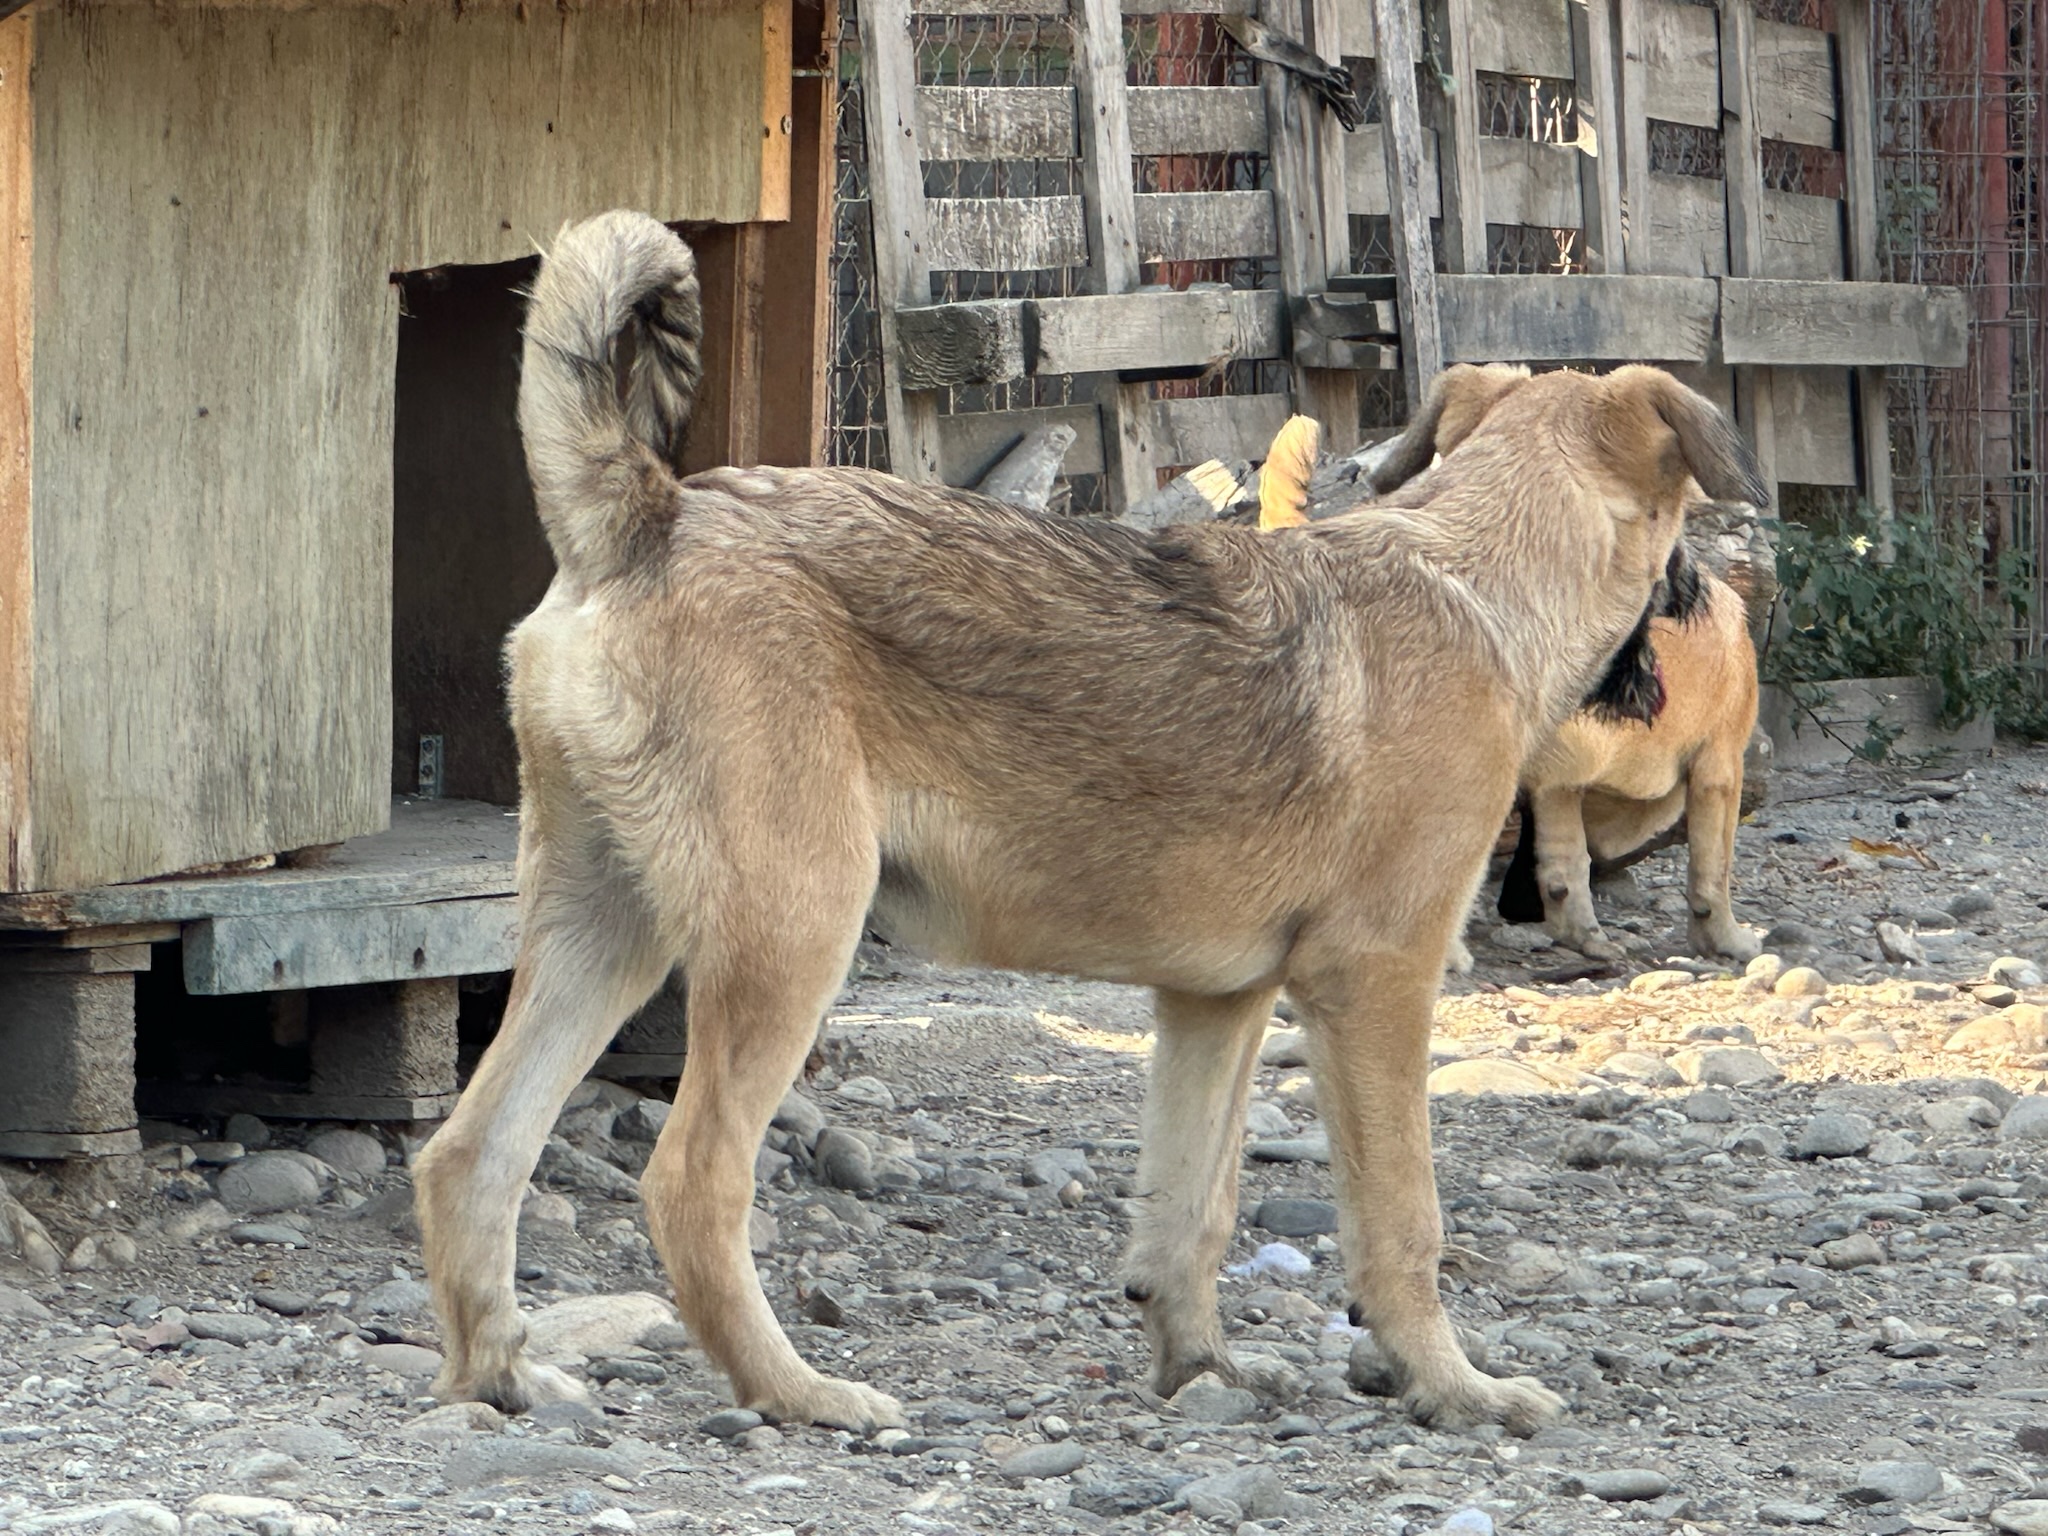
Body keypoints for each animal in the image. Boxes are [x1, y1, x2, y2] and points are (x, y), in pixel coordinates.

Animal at [410, 210, 1768, 1438]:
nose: (1715, 607)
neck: (1473, 573)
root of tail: (650, 515)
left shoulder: (1216, 1005)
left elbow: (1190, 1206)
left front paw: (1198, 1365)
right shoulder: (1374, 982)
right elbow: (1400, 1220)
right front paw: (1449, 1385)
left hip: (604, 932)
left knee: (473, 1152)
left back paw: (504, 1377)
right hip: (790, 932)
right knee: (691, 1180)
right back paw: (796, 1394)